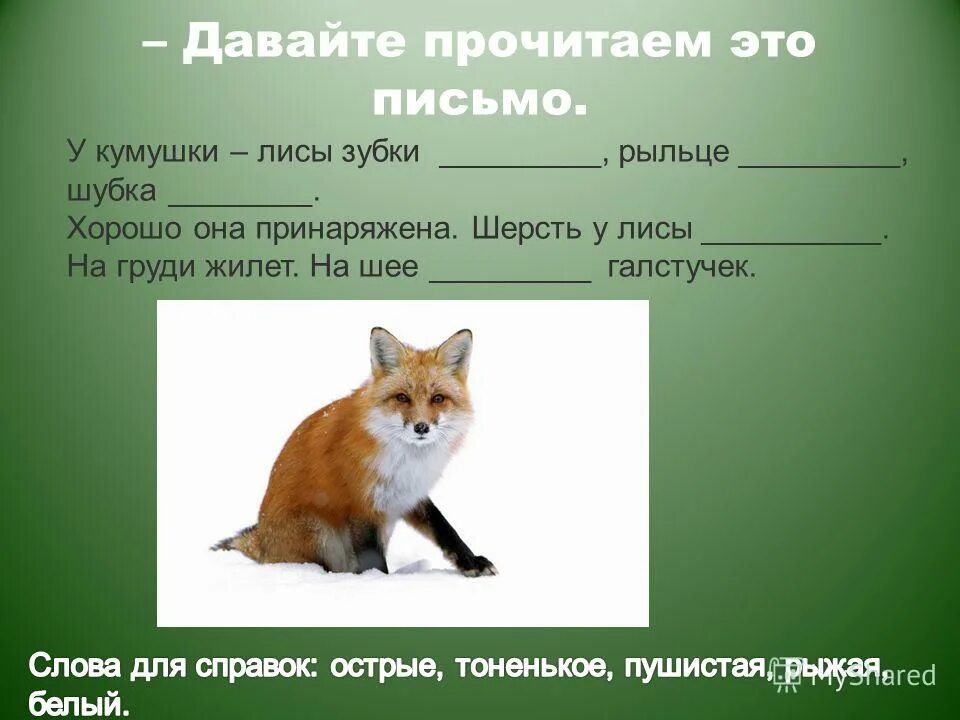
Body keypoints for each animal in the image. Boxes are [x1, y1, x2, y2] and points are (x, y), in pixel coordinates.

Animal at [214, 327, 496, 577]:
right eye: (402, 398)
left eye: (438, 399)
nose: (421, 427)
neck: (404, 459)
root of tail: (260, 541)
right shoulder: (360, 503)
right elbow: (373, 559)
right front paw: (376, 581)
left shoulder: (408, 493)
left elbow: (444, 528)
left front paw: (471, 562)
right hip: (320, 532)